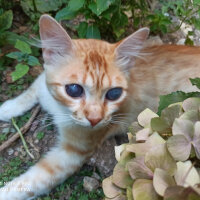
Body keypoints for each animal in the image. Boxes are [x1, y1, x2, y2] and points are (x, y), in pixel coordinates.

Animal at [0, 14, 200, 199]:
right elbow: (32, 89)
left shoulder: (73, 153)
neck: (58, 106)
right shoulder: (42, 83)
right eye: (74, 89)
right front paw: (8, 107)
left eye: (114, 93)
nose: (95, 119)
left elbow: (32, 181)